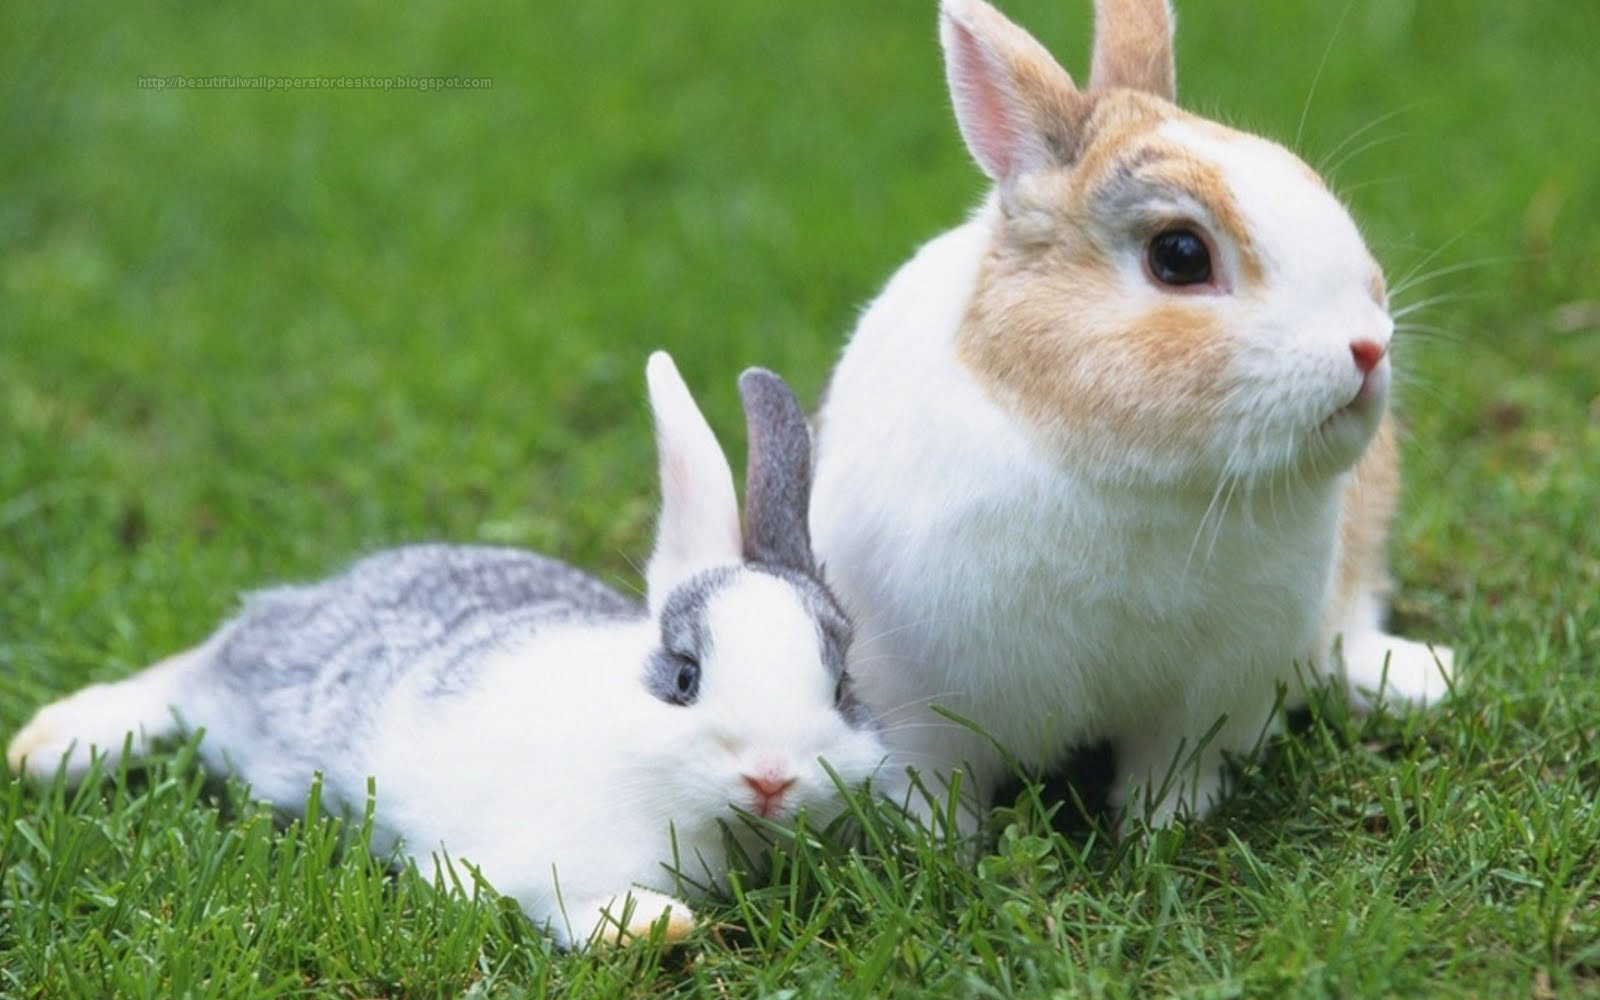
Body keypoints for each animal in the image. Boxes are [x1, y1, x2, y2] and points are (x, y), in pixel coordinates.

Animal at [7, 352, 890, 949]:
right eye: (684, 677)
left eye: (843, 688)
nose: (771, 777)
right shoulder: (528, 857)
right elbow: (559, 896)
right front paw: (651, 927)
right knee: (178, 680)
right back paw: (48, 747)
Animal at [808, 0, 1455, 830]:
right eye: (1179, 256)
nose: (1370, 346)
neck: (1132, 477)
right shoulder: (915, 700)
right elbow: (937, 785)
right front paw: (939, 845)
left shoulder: (1213, 697)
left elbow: (1176, 769)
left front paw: (1160, 828)